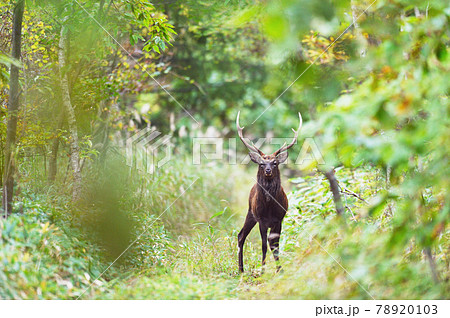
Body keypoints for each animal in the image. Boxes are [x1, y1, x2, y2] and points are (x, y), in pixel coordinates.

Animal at [236, 112, 302, 274]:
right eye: (261, 163)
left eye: (275, 163)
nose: (267, 170)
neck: (270, 207)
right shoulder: (262, 220)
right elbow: (264, 246)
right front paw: (262, 271)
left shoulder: (279, 219)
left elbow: (275, 245)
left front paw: (280, 270)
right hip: (250, 212)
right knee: (241, 235)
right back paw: (241, 269)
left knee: (243, 235)